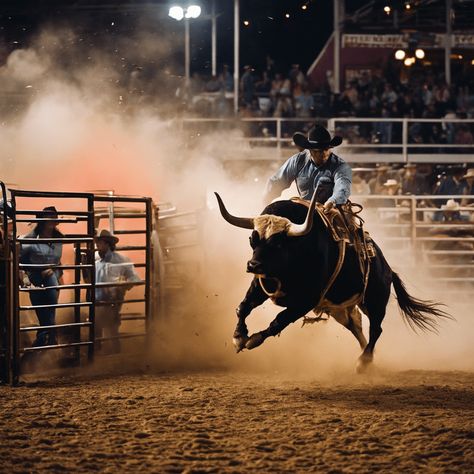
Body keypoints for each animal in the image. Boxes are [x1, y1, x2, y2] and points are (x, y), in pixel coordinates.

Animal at [217, 191, 450, 372]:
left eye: (277, 243)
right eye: (253, 239)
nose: (252, 265)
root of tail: (389, 270)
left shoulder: (307, 300)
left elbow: (279, 321)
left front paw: (253, 339)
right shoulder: (262, 283)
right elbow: (243, 307)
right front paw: (239, 336)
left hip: (376, 301)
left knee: (376, 329)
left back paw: (364, 361)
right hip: (340, 309)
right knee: (356, 326)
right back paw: (368, 357)